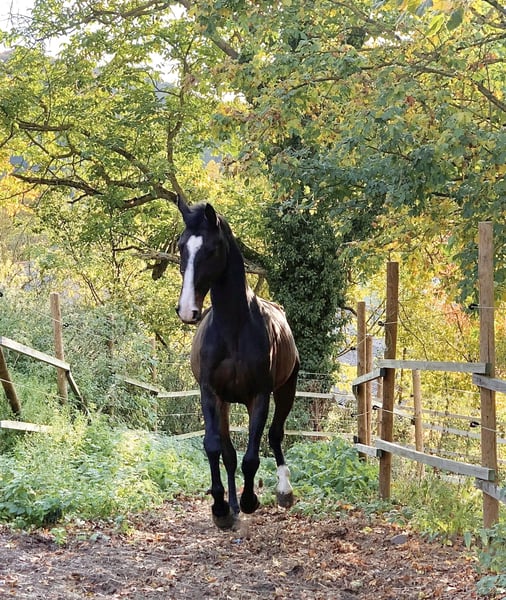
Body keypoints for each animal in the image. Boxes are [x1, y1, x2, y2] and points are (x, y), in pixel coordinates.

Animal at [175, 198, 300, 530]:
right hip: (226, 404)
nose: (187, 310)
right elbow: (215, 448)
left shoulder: (260, 395)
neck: (232, 328)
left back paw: (283, 491)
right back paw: (230, 506)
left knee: (275, 435)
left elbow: (252, 456)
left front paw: (250, 500)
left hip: (286, 391)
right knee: (229, 454)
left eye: (211, 249)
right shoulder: (210, 394)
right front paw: (221, 507)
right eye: (181, 247)